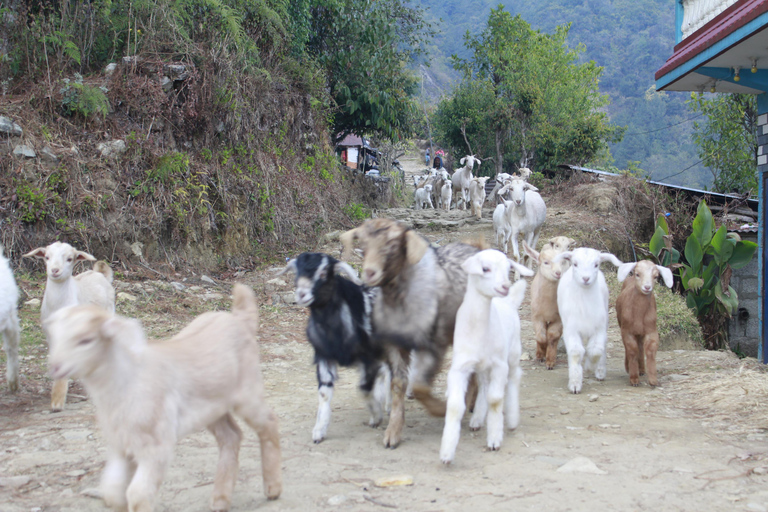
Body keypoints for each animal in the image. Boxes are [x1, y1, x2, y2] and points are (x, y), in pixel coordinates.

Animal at [280, 254, 390, 442]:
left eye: (324, 273)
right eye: (297, 273)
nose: (301, 294)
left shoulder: (367, 357)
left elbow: (364, 389)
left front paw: (376, 416)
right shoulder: (324, 356)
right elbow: (324, 393)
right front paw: (319, 431)